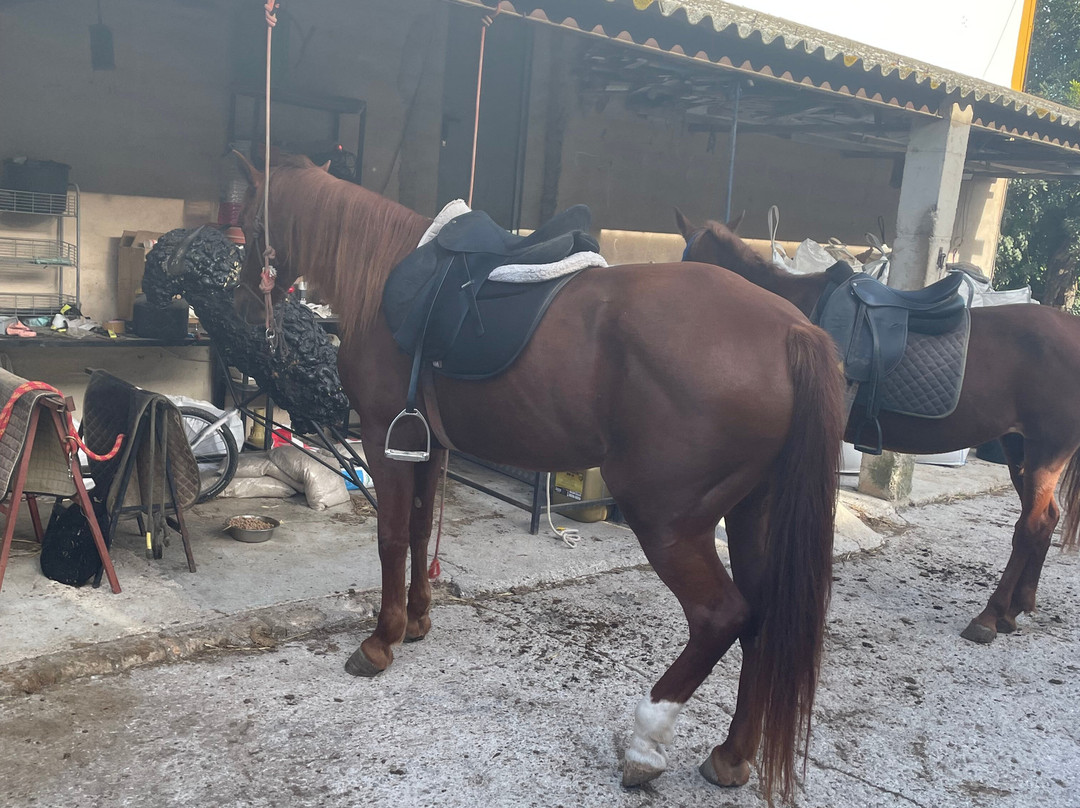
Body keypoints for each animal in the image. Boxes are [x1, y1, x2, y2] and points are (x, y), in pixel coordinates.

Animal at [233, 153, 845, 804]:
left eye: (250, 220)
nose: (244, 306)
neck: (387, 278)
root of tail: (791, 332)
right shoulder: (428, 445)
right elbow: (422, 532)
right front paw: (418, 621)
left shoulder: (383, 439)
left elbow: (392, 538)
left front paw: (381, 641)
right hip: (754, 513)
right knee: (761, 622)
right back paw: (730, 755)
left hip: (669, 520)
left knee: (721, 617)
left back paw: (646, 744)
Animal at [678, 209, 1080, 647]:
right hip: (1018, 447)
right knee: (1044, 520)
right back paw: (1016, 608)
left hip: (1046, 451)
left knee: (1031, 526)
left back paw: (990, 615)